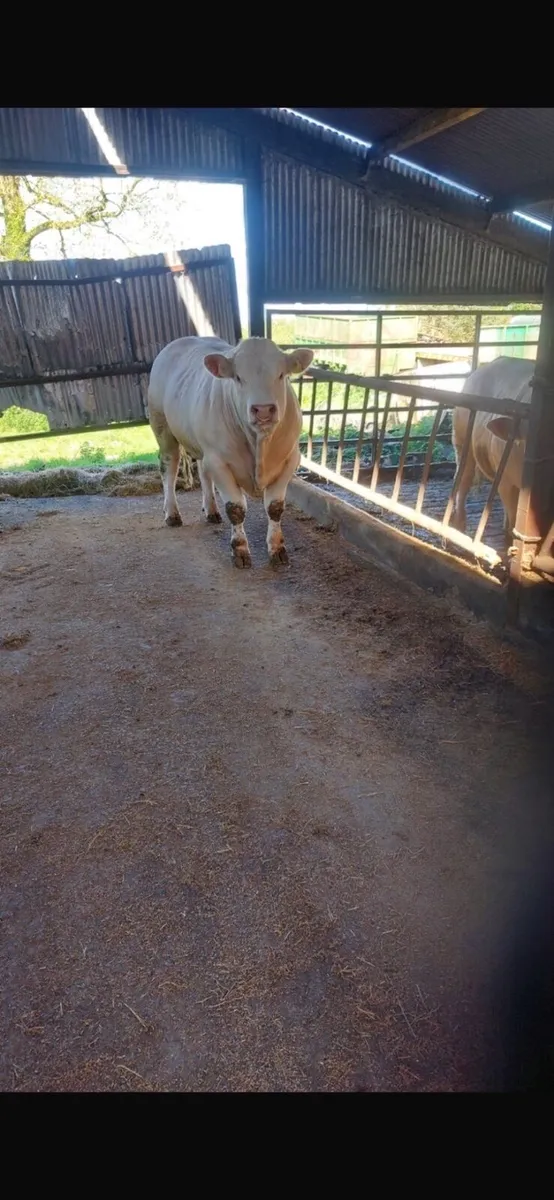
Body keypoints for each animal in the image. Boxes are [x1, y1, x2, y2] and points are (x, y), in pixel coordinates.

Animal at [147, 336, 314, 568]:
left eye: (281, 375)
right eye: (238, 377)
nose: (263, 410)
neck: (259, 444)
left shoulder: (290, 459)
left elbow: (275, 507)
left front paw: (277, 549)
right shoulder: (219, 462)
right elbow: (235, 509)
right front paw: (240, 550)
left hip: (202, 446)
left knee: (203, 472)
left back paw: (211, 510)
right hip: (162, 428)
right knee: (168, 469)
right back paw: (172, 514)